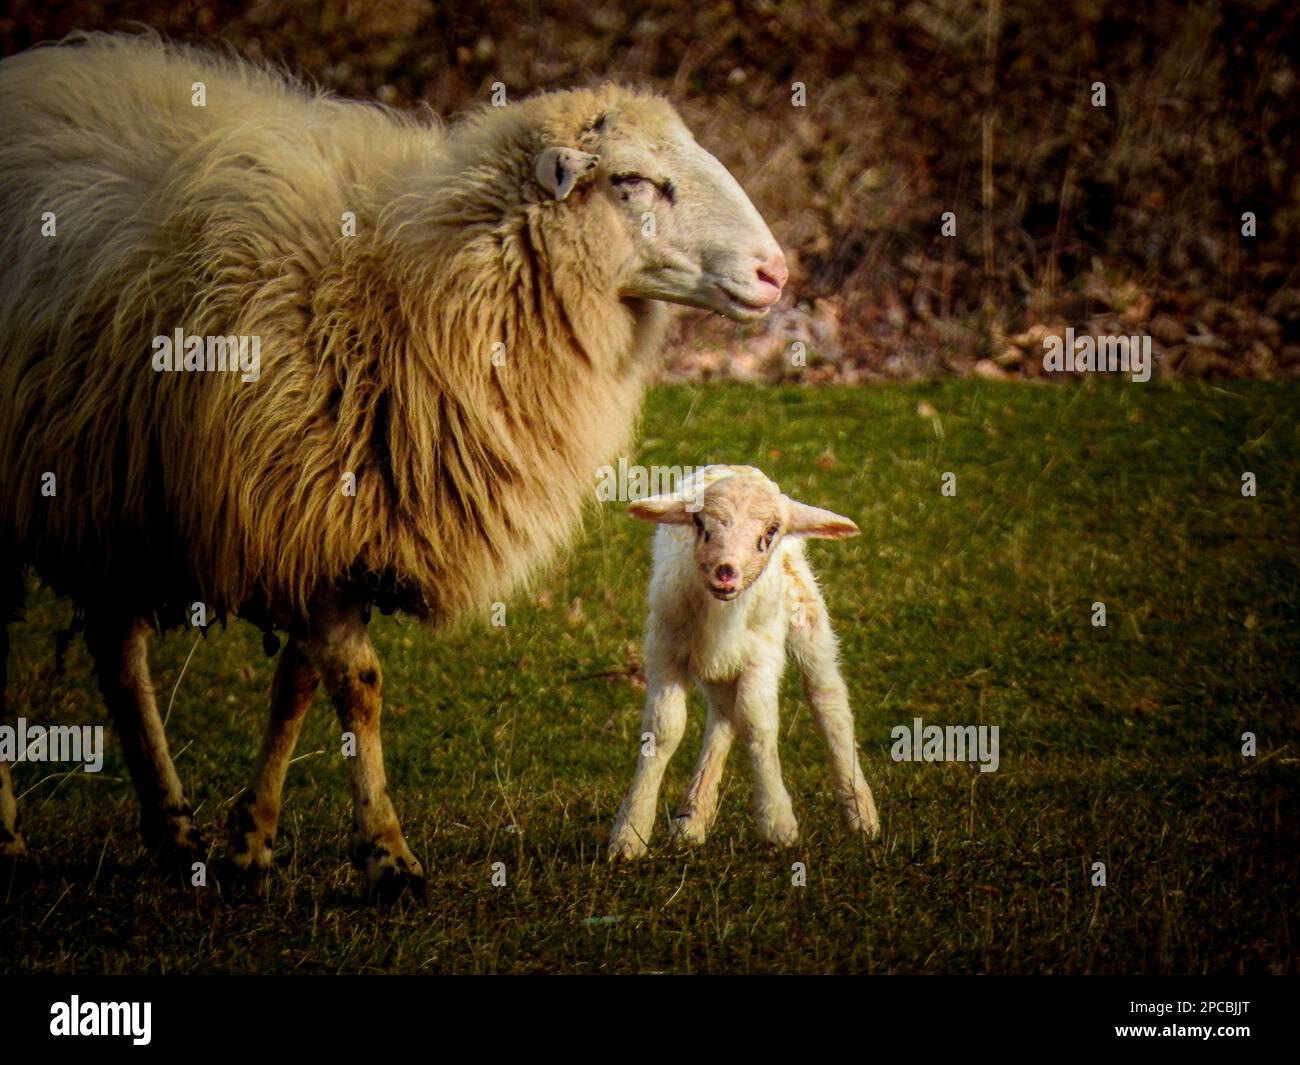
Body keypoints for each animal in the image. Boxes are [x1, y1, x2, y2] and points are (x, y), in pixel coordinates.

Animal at [0, 31, 785, 899]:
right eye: (634, 181)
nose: (776, 271)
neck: (412, 284)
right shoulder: (301, 510)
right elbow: (358, 686)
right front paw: (386, 852)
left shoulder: (326, 529)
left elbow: (296, 686)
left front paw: (249, 840)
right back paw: (12, 837)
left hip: (111, 493)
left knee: (119, 652)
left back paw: (173, 833)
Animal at [608, 465, 883, 858]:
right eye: (700, 523)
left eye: (770, 531)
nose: (726, 571)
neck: (722, 610)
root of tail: (738, 466)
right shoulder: (665, 648)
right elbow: (663, 729)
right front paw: (630, 833)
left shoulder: (762, 653)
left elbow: (757, 721)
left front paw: (777, 822)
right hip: (713, 661)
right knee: (723, 715)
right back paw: (693, 817)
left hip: (805, 613)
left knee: (828, 701)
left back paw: (860, 814)